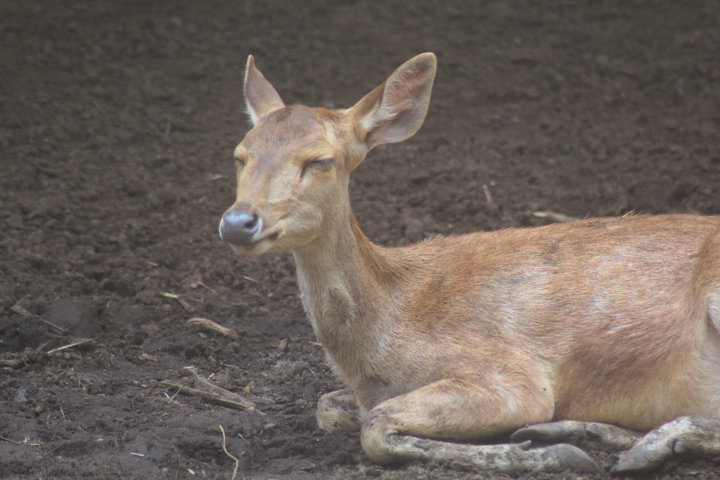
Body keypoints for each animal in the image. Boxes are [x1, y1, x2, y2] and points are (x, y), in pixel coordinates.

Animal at [219, 53, 720, 474]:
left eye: (320, 160)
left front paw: (550, 455)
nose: (238, 222)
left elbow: (375, 427)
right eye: (240, 155)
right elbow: (328, 406)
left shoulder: (512, 376)